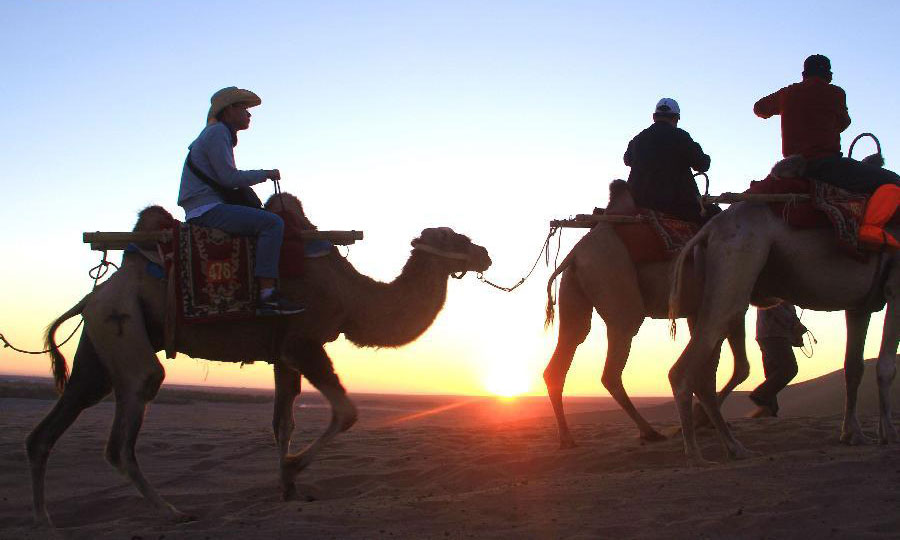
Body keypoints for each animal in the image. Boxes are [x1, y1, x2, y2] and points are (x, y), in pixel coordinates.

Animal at [26, 195, 492, 528]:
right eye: (453, 238)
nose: (485, 253)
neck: (351, 296)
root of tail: (92, 297)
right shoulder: (304, 341)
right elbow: (345, 412)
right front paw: (292, 468)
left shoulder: (282, 353)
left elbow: (283, 423)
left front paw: (287, 487)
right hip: (122, 326)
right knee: (127, 424)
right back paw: (174, 512)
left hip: (100, 345)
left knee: (55, 422)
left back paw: (46, 520)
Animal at [540, 181, 744, 448]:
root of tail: (574, 255)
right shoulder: (731, 300)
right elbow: (737, 367)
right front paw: (704, 419)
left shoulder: (700, 310)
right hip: (620, 299)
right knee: (611, 370)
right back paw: (649, 432)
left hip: (574, 294)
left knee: (566, 349)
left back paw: (567, 438)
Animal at [664, 196, 896, 466]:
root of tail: (708, 229)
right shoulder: (895, 285)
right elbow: (886, 366)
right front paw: (889, 434)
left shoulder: (859, 305)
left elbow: (854, 367)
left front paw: (853, 434)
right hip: (735, 271)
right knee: (683, 372)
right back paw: (696, 455)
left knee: (705, 377)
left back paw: (735, 448)